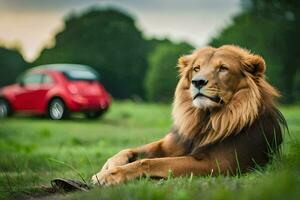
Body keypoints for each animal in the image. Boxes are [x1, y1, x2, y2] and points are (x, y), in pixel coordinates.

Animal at [91, 45, 286, 186]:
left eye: (223, 68)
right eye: (196, 68)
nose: (197, 82)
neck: (204, 119)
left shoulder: (216, 164)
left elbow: (149, 162)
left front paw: (109, 176)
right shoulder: (172, 144)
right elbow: (129, 150)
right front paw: (108, 167)